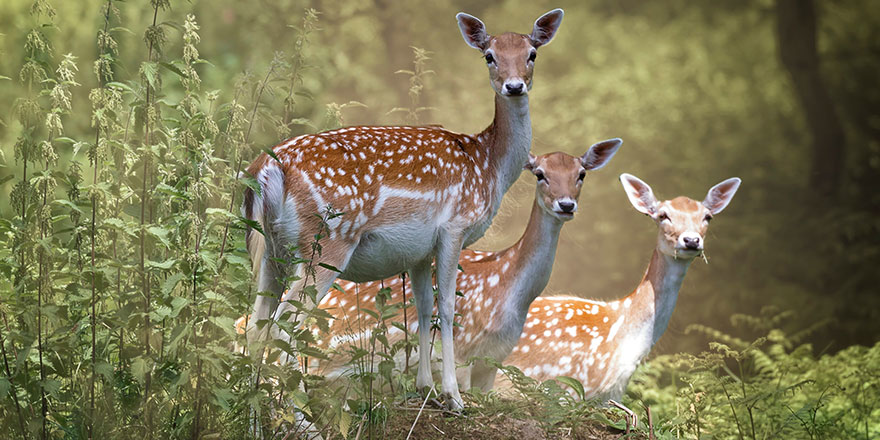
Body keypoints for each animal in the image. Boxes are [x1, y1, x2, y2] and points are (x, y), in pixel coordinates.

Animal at [242, 8, 564, 410]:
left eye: (531, 53)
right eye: (489, 55)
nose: (515, 86)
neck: (489, 165)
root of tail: (267, 168)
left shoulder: (418, 250)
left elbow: (424, 308)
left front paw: (425, 387)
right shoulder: (455, 226)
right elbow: (447, 308)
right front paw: (453, 396)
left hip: (271, 248)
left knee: (257, 329)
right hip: (327, 242)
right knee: (280, 329)